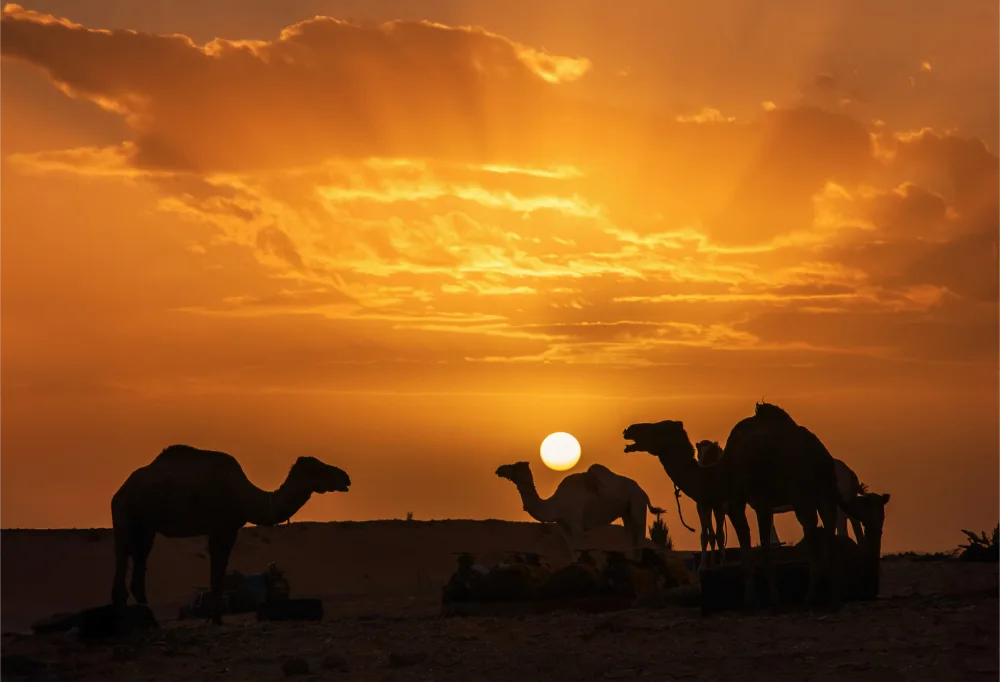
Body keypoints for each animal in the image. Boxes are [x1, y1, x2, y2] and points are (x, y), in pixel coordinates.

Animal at [110, 445, 351, 625]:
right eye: (319, 468)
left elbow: (218, 573)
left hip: (146, 528)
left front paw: (215, 618)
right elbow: (216, 576)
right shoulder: (221, 528)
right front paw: (216, 619)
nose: (345, 477)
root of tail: (120, 491)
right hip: (124, 516)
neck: (243, 496)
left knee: (139, 567)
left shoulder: (228, 530)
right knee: (122, 557)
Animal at [495, 461, 666, 563]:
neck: (556, 504)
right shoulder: (563, 525)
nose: (499, 469)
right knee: (631, 538)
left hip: (637, 503)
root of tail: (643, 492)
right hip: (626, 511)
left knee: (640, 535)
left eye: (515, 466)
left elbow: (579, 549)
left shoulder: (576, 523)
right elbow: (572, 553)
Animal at [623, 419, 886, 613]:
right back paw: (832, 600)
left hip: (803, 495)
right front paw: (774, 601)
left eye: (657, 427)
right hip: (823, 496)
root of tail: (822, 454)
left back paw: (810, 599)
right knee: (829, 537)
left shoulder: (735, 502)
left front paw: (749, 603)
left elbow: (748, 552)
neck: (719, 473)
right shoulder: (762, 504)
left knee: (817, 540)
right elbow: (766, 555)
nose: (629, 430)